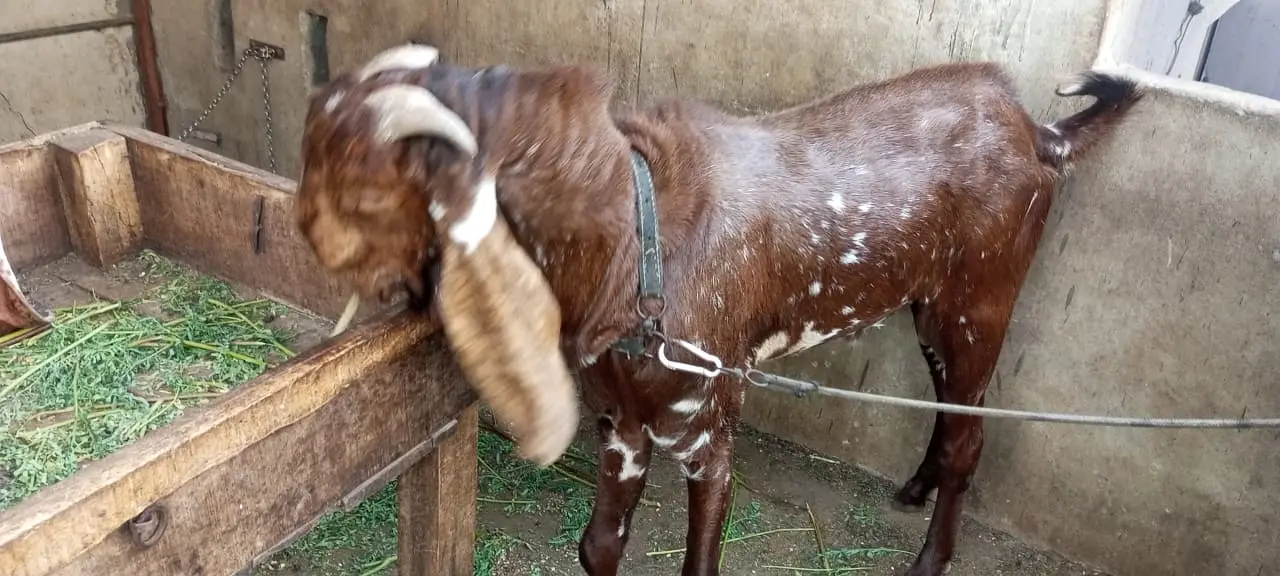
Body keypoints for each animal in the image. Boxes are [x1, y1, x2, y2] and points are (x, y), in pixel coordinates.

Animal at [294, 43, 1143, 576]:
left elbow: (697, 562)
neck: (636, 255)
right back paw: (913, 488)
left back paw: (929, 560)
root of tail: (1041, 134)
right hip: (933, 306)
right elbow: (597, 547)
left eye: (366, 181)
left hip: (981, 301)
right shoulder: (621, 421)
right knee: (948, 410)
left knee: (972, 434)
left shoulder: (708, 429)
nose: (302, 232)